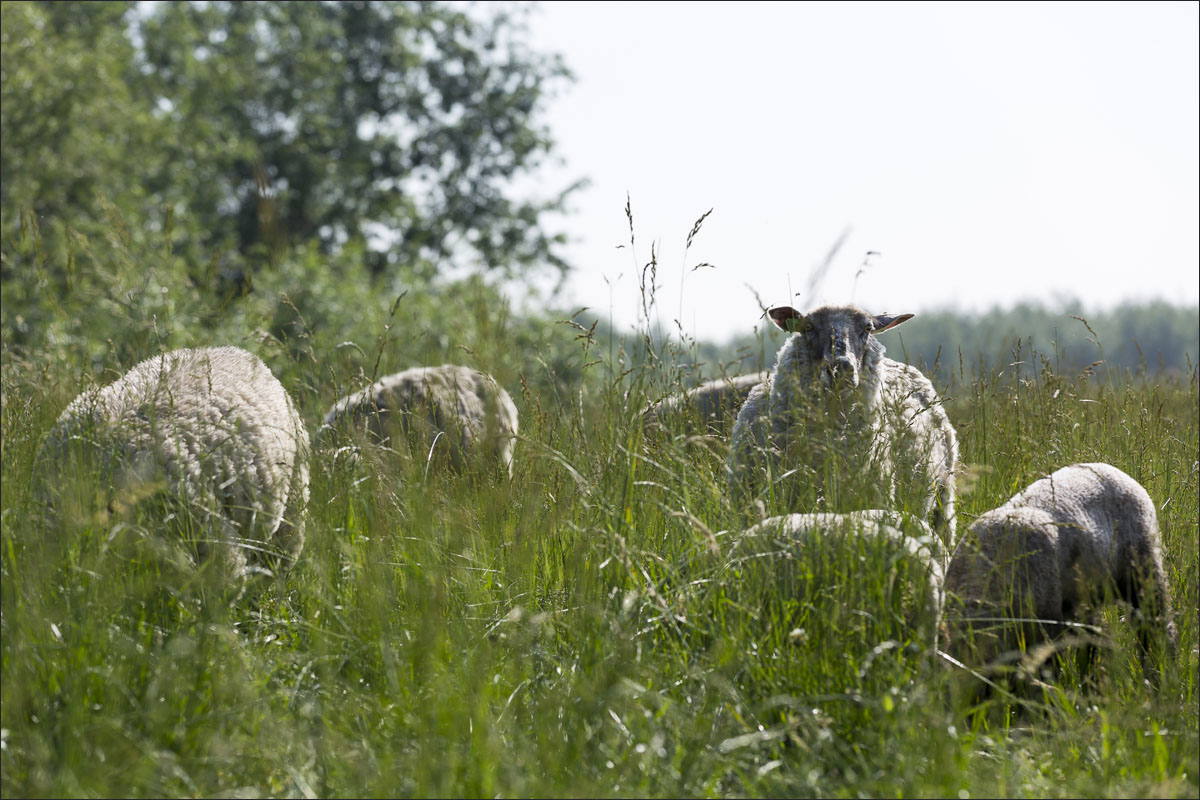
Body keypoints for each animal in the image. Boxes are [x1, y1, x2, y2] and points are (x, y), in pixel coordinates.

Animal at [940, 465, 1176, 686]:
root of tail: (1113, 468)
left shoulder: (1045, 625)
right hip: (1084, 593)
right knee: (1095, 637)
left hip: (1143, 567)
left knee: (1155, 622)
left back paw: (1160, 668)